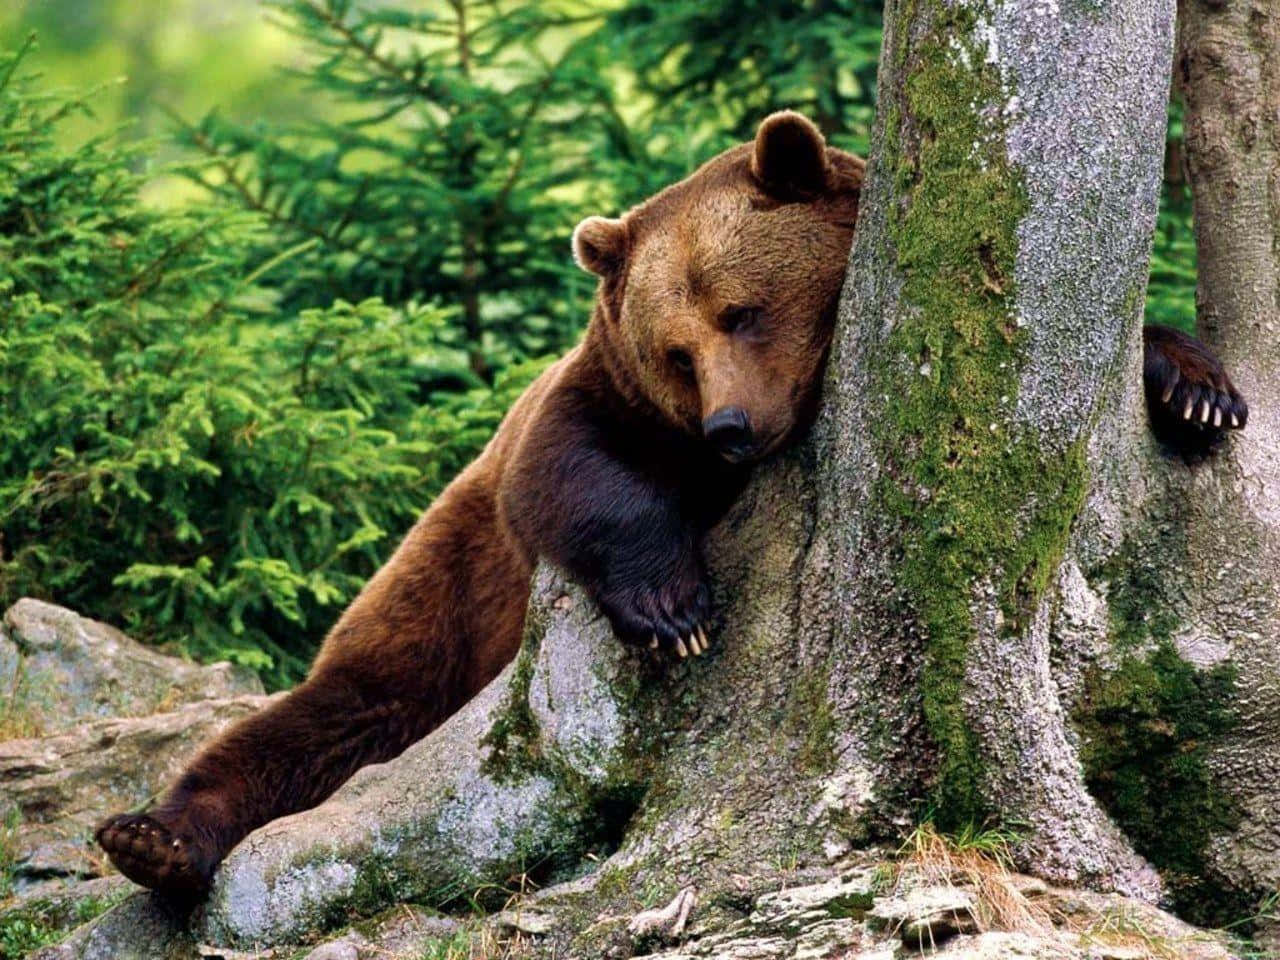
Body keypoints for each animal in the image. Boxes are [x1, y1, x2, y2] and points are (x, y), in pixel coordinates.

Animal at [95, 111, 1246, 898]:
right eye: (674, 349)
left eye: (743, 309)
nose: (730, 427)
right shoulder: (596, 405)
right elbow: (571, 470)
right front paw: (673, 609)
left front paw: (1196, 389)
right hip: (436, 603)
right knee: (326, 719)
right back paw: (154, 835)